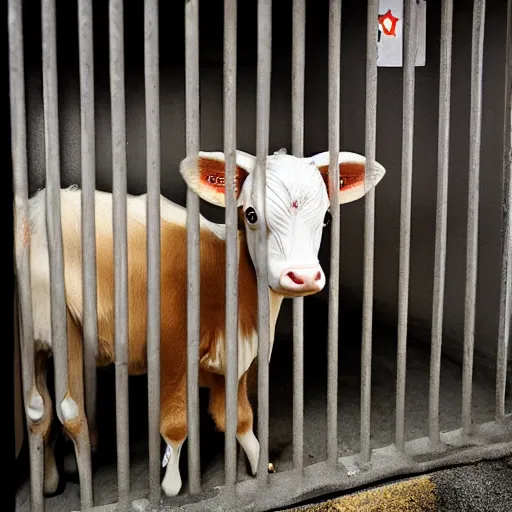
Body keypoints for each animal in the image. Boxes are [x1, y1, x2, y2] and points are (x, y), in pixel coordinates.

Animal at [22, 147, 386, 496]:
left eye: (327, 217)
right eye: (251, 214)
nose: (303, 276)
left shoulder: (233, 357)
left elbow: (238, 418)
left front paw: (259, 466)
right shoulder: (172, 352)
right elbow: (175, 424)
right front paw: (171, 486)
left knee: (41, 410)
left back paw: (51, 480)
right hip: (58, 324)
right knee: (66, 410)